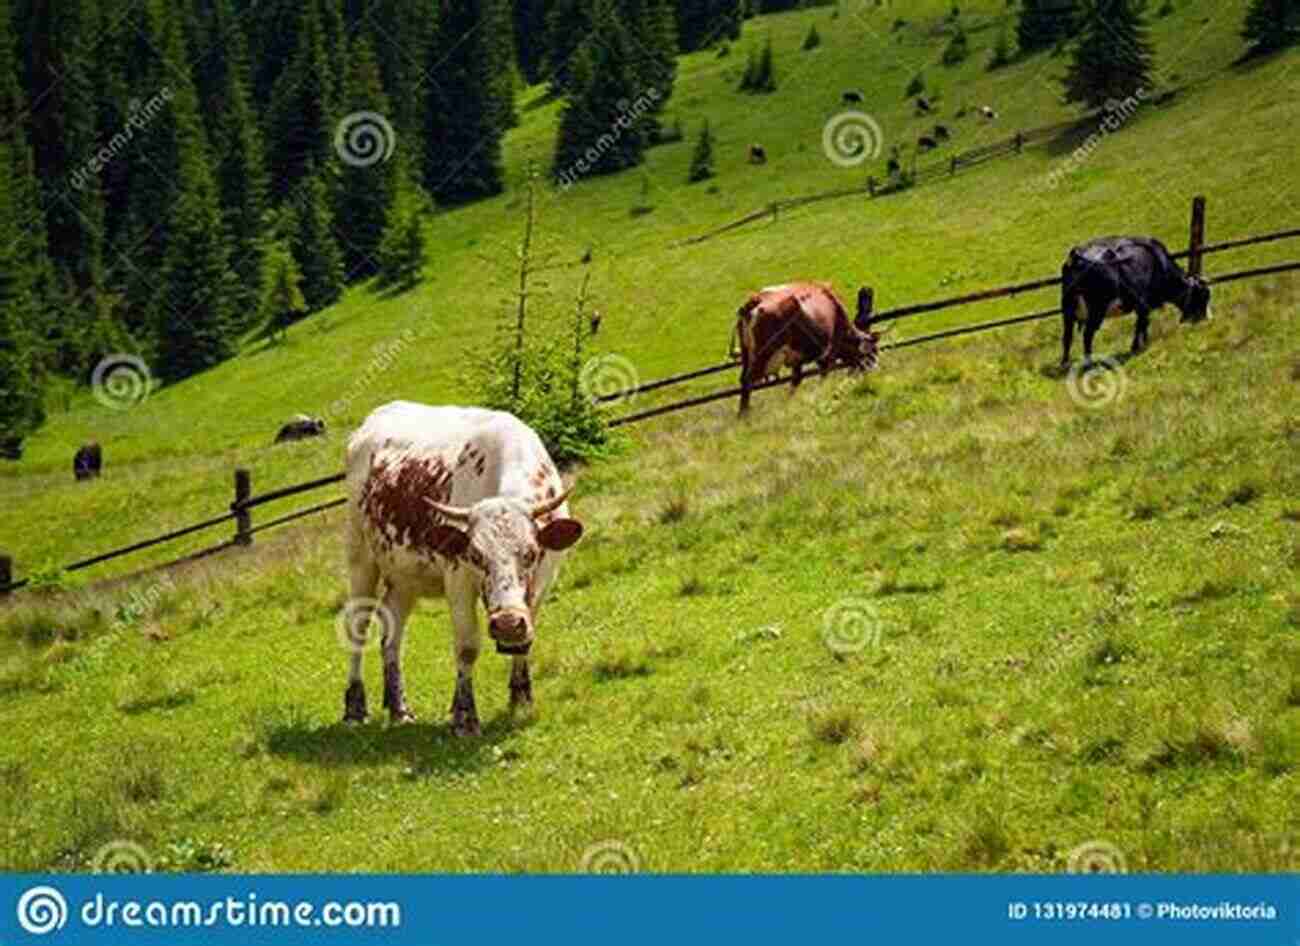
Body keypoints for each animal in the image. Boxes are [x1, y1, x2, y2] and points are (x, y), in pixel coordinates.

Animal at [343, 402, 582, 732]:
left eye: (531, 553)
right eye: (476, 555)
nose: (507, 624)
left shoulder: (544, 580)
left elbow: (526, 639)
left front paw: (521, 697)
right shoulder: (458, 579)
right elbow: (467, 647)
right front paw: (465, 717)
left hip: (404, 576)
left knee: (392, 636)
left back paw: (399, 709)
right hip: (361, 558)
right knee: (358, 627)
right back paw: (355, 708)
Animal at [733, 280, 883, 413]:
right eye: (872, 352)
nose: (876, 371)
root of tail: (756, 299)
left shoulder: (797, 359)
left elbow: (796, 380)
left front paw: (790, 402)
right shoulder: (829, 351)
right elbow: (824, 374)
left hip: (747, 354)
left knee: (743, 380)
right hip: (764, 354)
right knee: (748, 381)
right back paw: (744, 415)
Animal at [1060, 236, 1211, 366]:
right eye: (1203, 296)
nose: (1205, 319)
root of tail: (1077, 254)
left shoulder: (1143, 306)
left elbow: (1143, 324)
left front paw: (1143, 343)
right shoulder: (1144, 303)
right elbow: (1141, 324)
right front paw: (1138, 347)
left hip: (1068, 310)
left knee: (1067, 336)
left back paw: (1065, 363)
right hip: (1097, 309)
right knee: (1087, 335)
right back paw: (1089, 362)